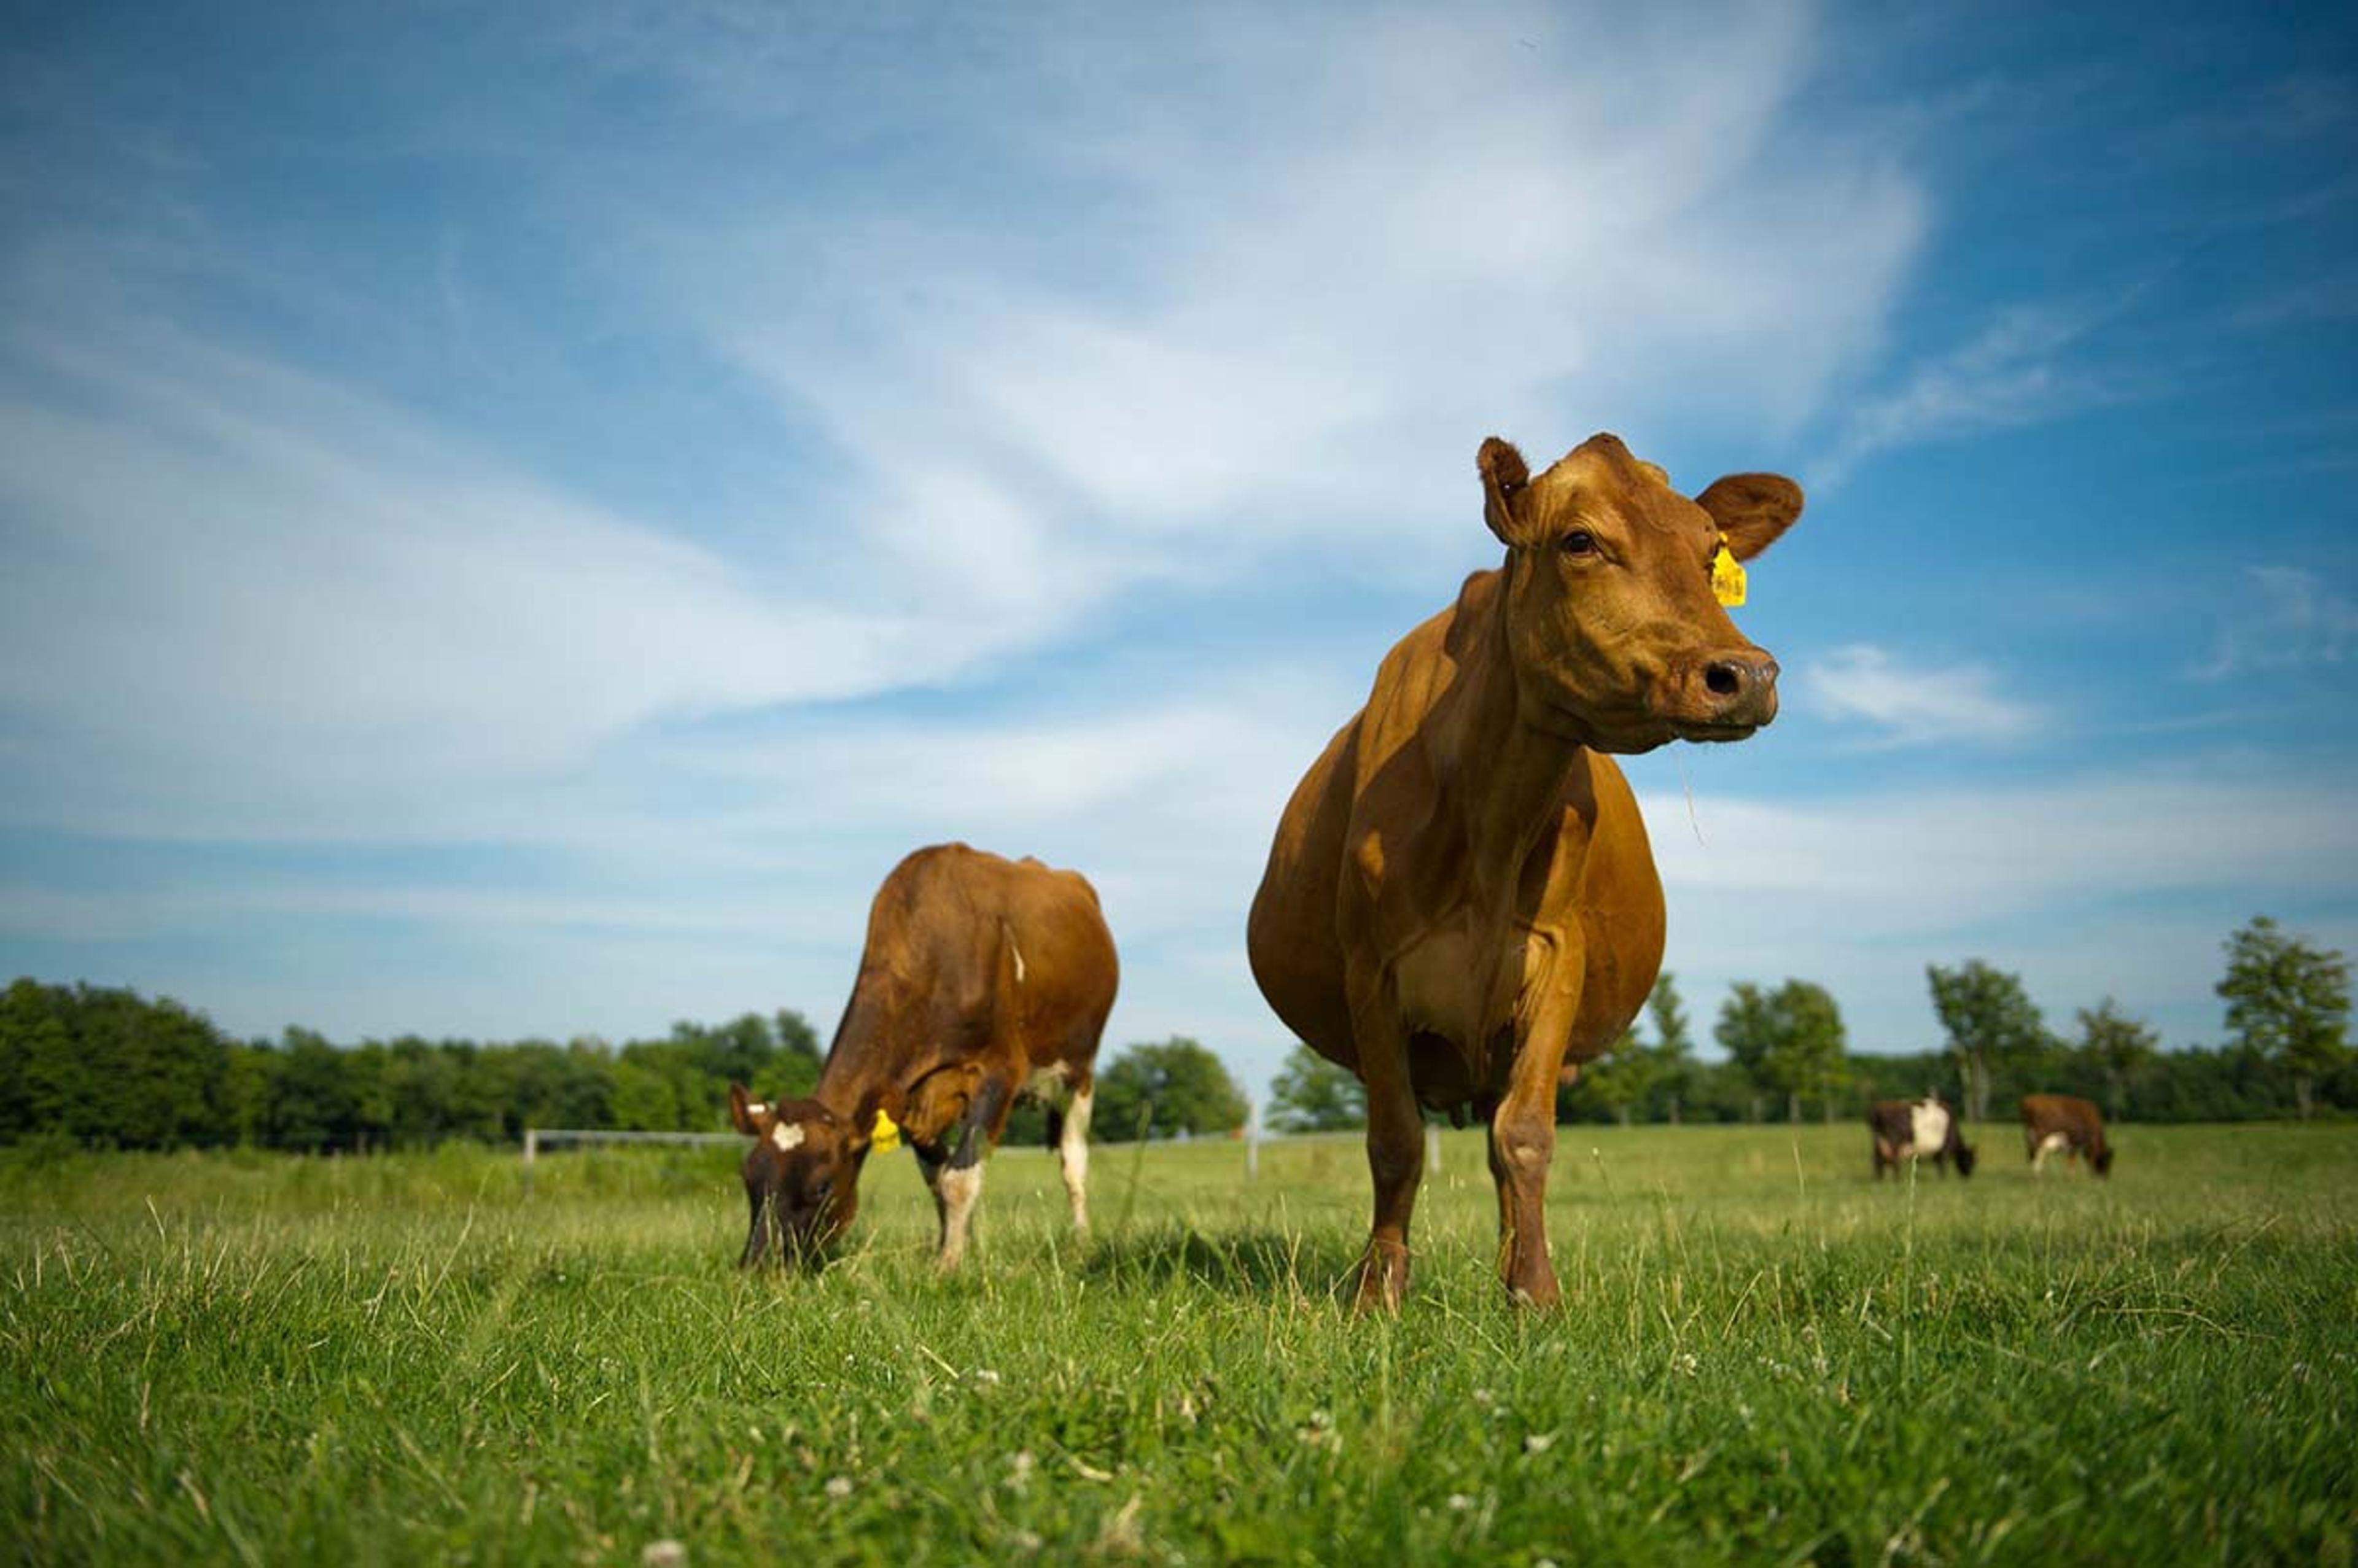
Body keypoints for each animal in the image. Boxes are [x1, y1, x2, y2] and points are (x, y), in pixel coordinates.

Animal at [722, 839, 1118, 1263]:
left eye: (822, 1186)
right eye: (749, 1177)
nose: (757, 1266)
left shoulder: (1000, 1071)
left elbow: (960, 1178)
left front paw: (949, 1265)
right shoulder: (912, 1098)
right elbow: (938, 1179)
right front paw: (955, 1247)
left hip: (1080, 1071)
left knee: (1073, 1162)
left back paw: (1082, 1241)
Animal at [1254, 431, 1801, 1311]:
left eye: (1708, 547)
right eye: (1579, 540)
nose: (1745, 674)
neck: (1488, 821)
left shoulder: (1557, 958)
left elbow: (1526, 1133)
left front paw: (1535, 1293)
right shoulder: (1371, 969)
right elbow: (1394, 1142)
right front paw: (1378, 1294)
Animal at [1867, 1094, 1980, 1179]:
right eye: (1970, 1159)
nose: (1968, 1175)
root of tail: (1878, 1107)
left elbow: (1938, 1163)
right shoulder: (1945, 1147)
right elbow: (1942, 1164)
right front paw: (1943, 1179)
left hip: (1878, 1141)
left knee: (1878, 1160)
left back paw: (1880, 1180)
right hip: (1894, 1140)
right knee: (1894, 1160)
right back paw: (1897, 1179)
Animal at [2018, 1089, 2112, 1174]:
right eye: (2105, 1160)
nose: (2104, 1177)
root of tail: (2028, 1101)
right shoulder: (2074, 1141)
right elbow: (2072, 1161)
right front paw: (2071, 1177)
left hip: (2030, 1135)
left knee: (2033, 1156)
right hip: (2040, 1135)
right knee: (2038, 1156)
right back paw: (2037, 1174)